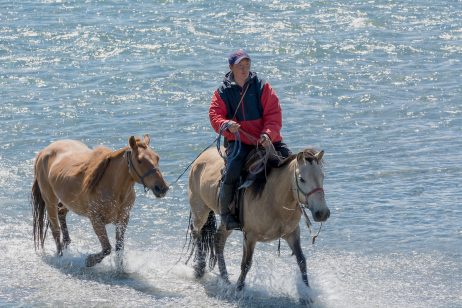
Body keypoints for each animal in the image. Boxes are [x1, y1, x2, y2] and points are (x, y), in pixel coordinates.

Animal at [32, 135, 170, 268]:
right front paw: (90, 261)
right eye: (140, 160)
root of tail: (44, 151)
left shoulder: (123, 219)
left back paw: (66, 243)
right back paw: (61, 256)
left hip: (67, 201)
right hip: (50, 199)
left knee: (61, 213)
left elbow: (119, 248)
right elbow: (107, 248)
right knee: (55, 229)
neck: (112, 187)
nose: (162, 188)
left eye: (157, 158)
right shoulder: (96, 220)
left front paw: (120, 269)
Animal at [187, 148, 328, 294]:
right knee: (196, 232)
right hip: (200, 209)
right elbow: (246, 264)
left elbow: (301, 261)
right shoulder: (250, 236)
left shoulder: (292, 233)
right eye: (301, 179)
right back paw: (200, 269)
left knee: (218, 239)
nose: (322, 213)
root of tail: (200, 158)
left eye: (322, 176)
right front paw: (239, 288)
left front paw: (307, 293)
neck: (274, 198)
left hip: (226, 223)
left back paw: (225, 278)